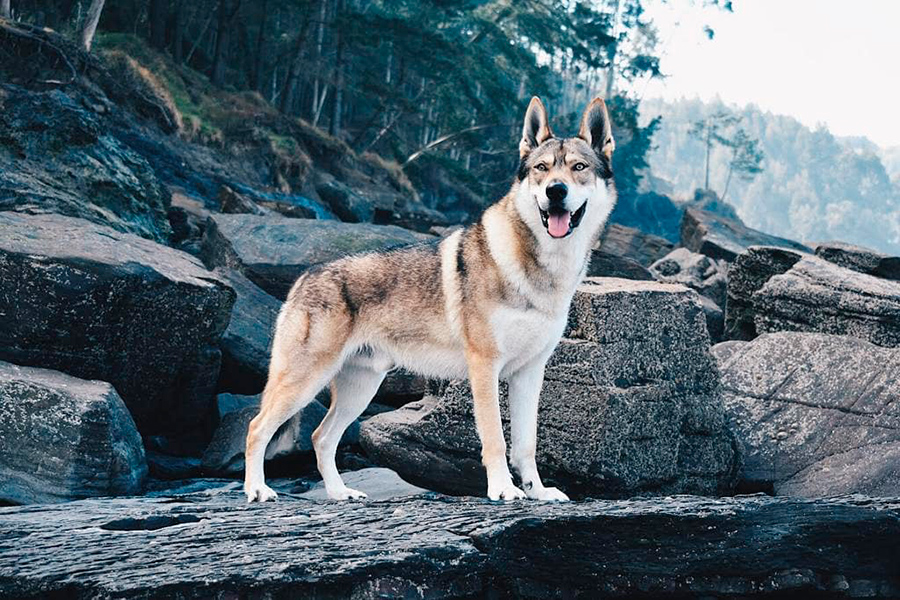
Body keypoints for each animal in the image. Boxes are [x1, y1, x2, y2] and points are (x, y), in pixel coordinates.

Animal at [243, 97, 616, 502]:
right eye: (542, 169)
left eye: (578, 168)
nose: (555, 191)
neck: (542, 269)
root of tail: (304, 276)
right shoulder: (484, 367)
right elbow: (496, 440)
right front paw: (503, 490)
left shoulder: (529, 373)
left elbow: (526, 443)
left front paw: (538, 492)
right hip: (305, 381)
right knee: (257, 428)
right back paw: (257, 490)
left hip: (360, 389)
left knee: (320, 437)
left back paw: (341, 493)